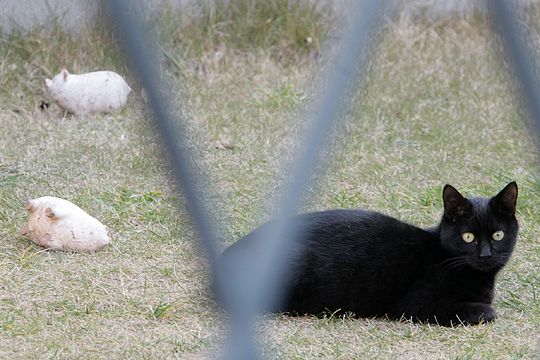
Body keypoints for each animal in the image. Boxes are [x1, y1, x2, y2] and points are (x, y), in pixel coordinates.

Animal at [219, 183, 520, 326]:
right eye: (468, 237)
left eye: (497, 235)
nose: (485, 254)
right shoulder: (418, 304)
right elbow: (487, 312)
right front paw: (485, 310)